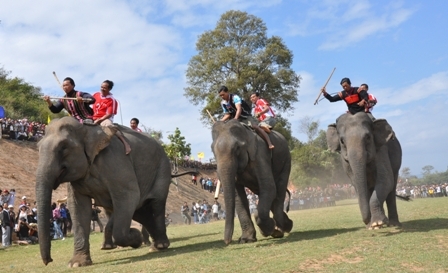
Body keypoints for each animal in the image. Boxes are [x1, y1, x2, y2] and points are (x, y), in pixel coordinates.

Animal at [36, 117, 178, 266]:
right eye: (38, 148)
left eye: (63, 147)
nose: (49, 261)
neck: (87, 129)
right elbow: (78, 206)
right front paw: (77, 264)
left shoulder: (115, 161)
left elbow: (129, 196)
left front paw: (135, 237)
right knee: (140, 212)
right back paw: (154, 246)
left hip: (163, 169)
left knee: (156, 203)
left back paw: (160, 245)